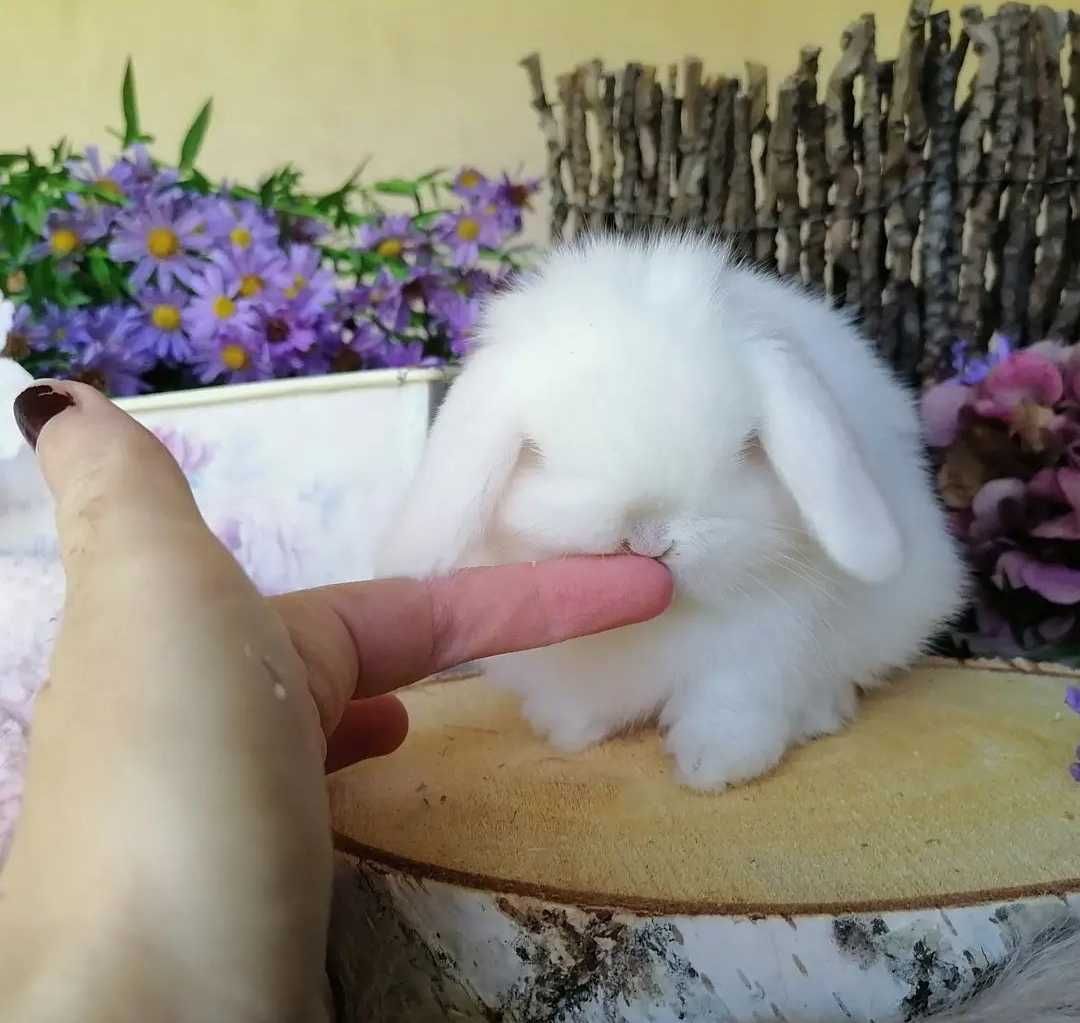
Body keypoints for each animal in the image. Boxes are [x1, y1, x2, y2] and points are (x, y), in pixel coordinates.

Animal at [375, 234, 967, 790]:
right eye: (537, 451)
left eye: (748, 446)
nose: (647, 538)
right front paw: (569, 729)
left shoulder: (756, 653)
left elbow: (731, 707)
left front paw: (716, 768)